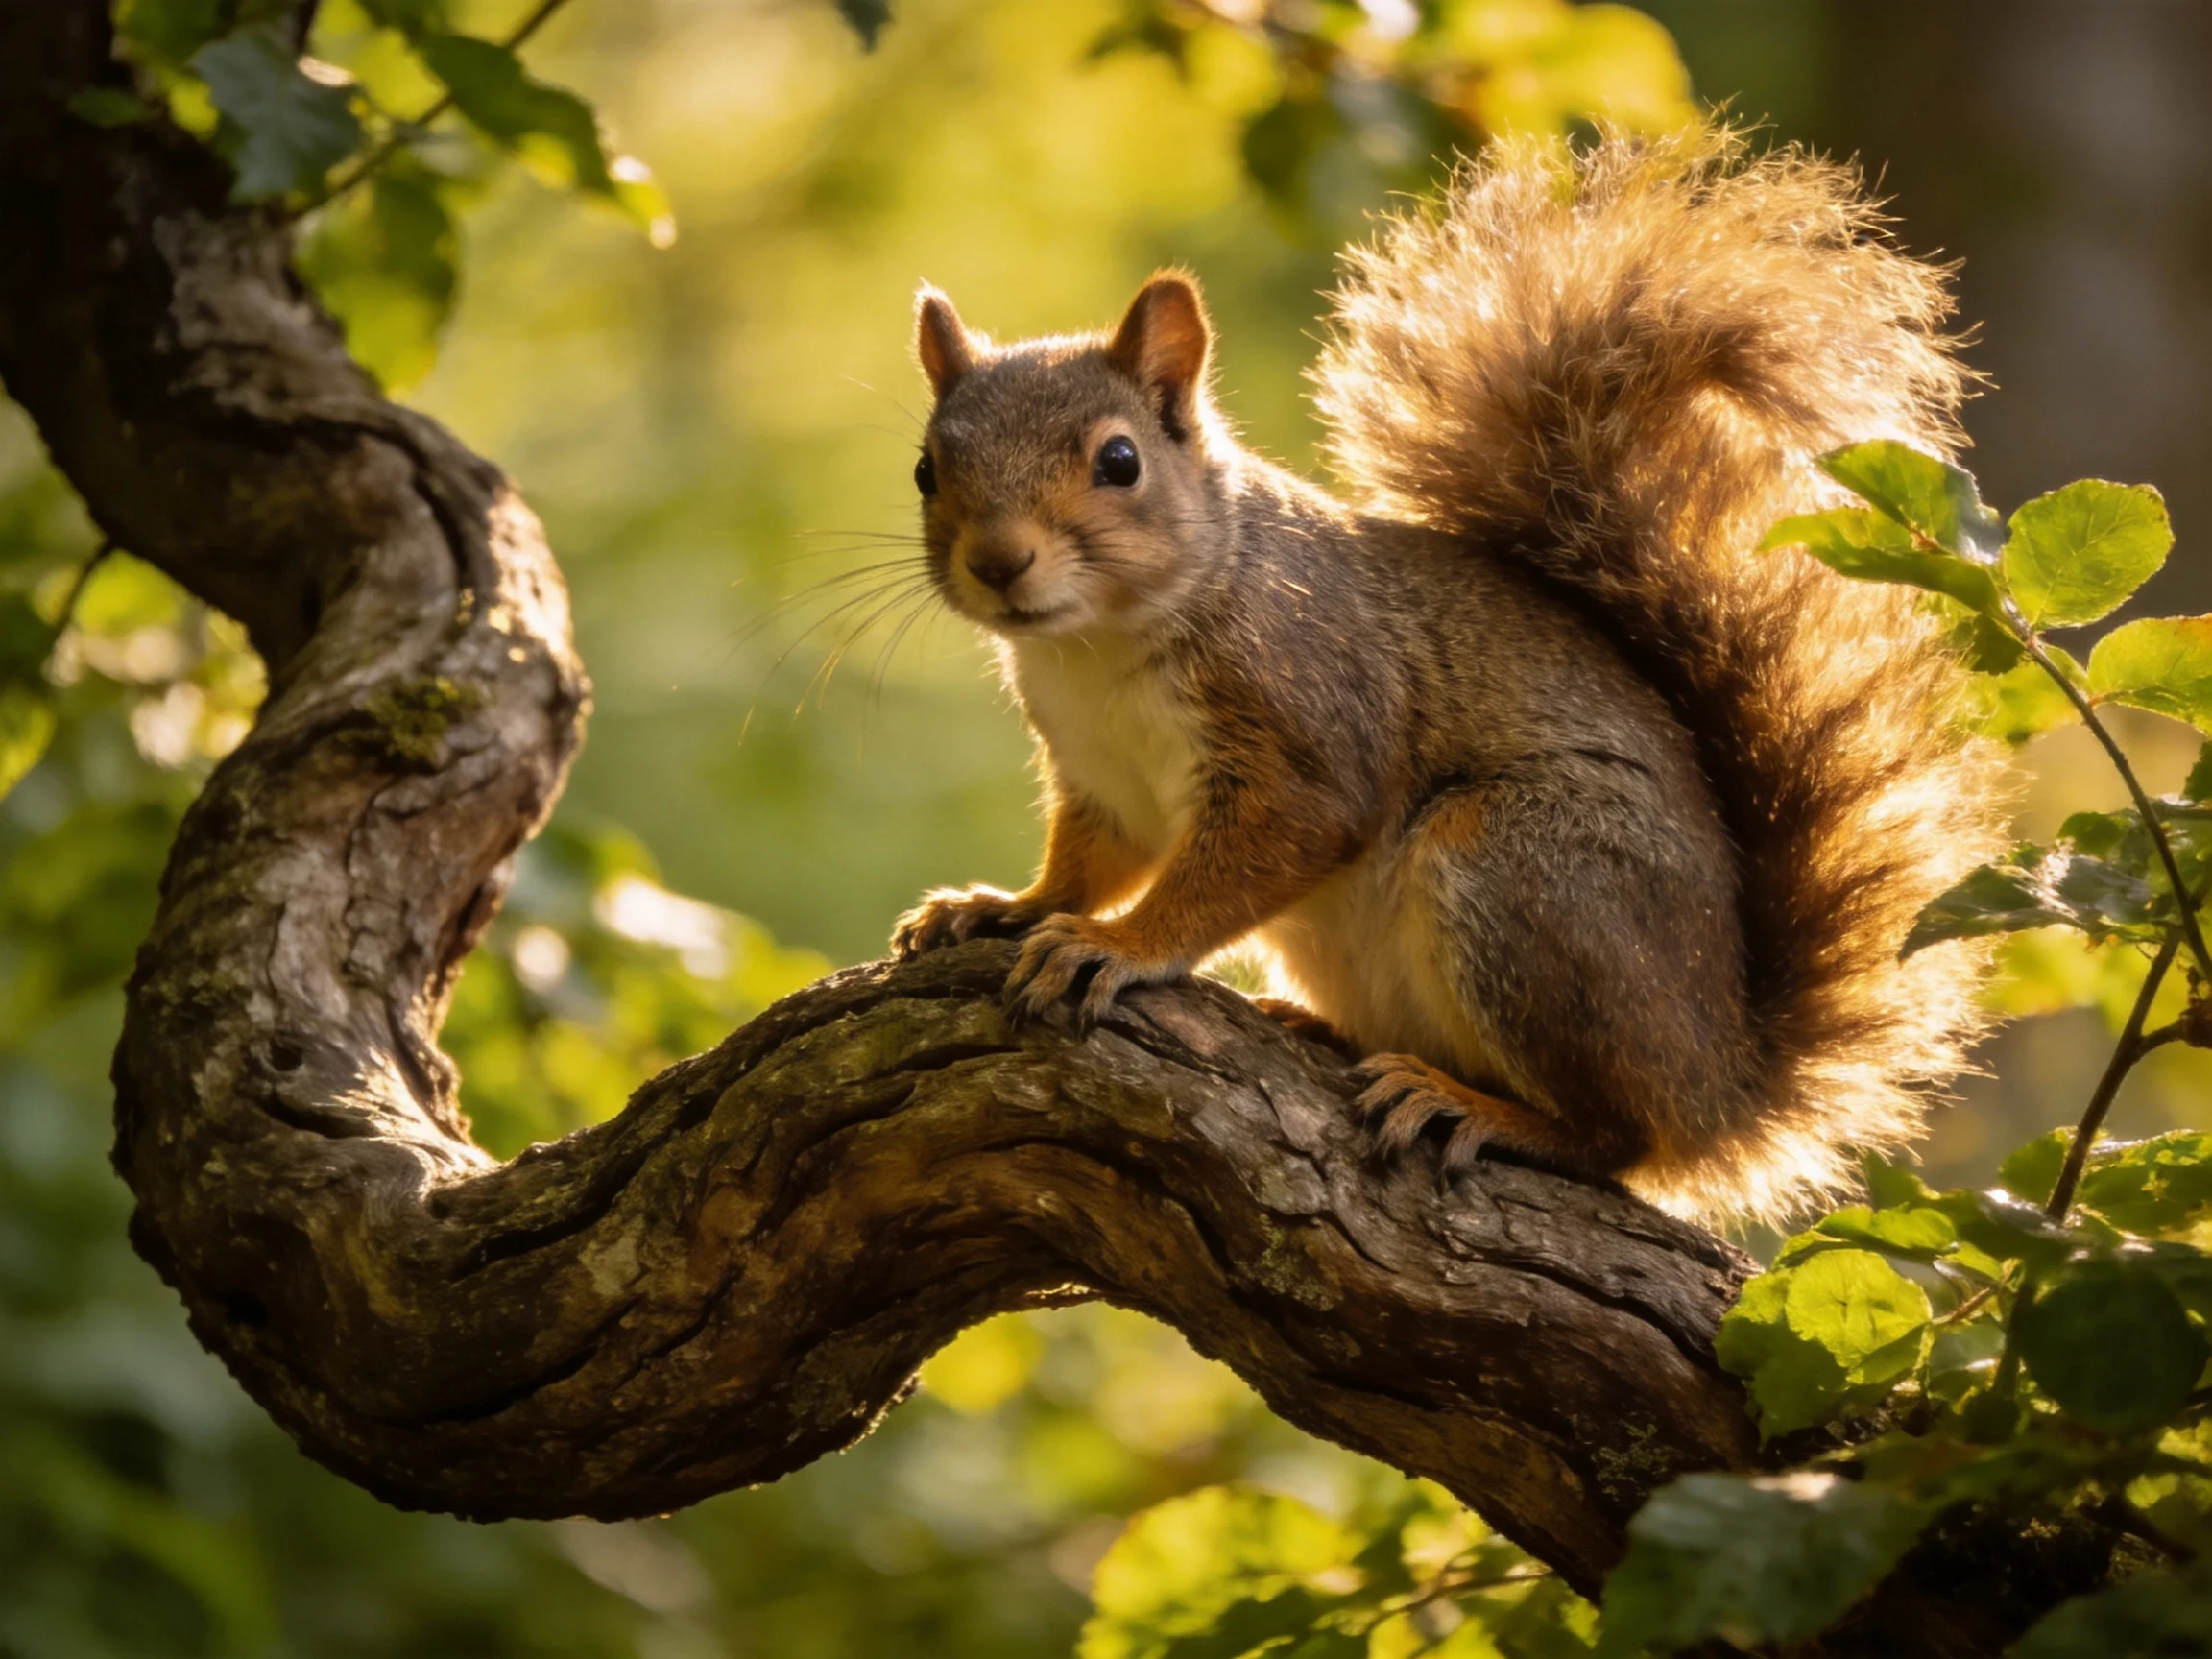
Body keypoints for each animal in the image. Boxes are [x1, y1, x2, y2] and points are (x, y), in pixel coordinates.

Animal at [887, 127, 2004, 1223]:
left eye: (1119, 462)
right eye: (927, 471)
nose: (999, 563)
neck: (1100, 649)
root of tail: (1721, 1079)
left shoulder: (1307, 713)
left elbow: (1256, 854)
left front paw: (1118, 943)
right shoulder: (1102, 780)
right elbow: (1091, 860)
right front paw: (1006, 905)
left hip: (1525, 876)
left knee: (1617, 1141)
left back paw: (1477, 1108)